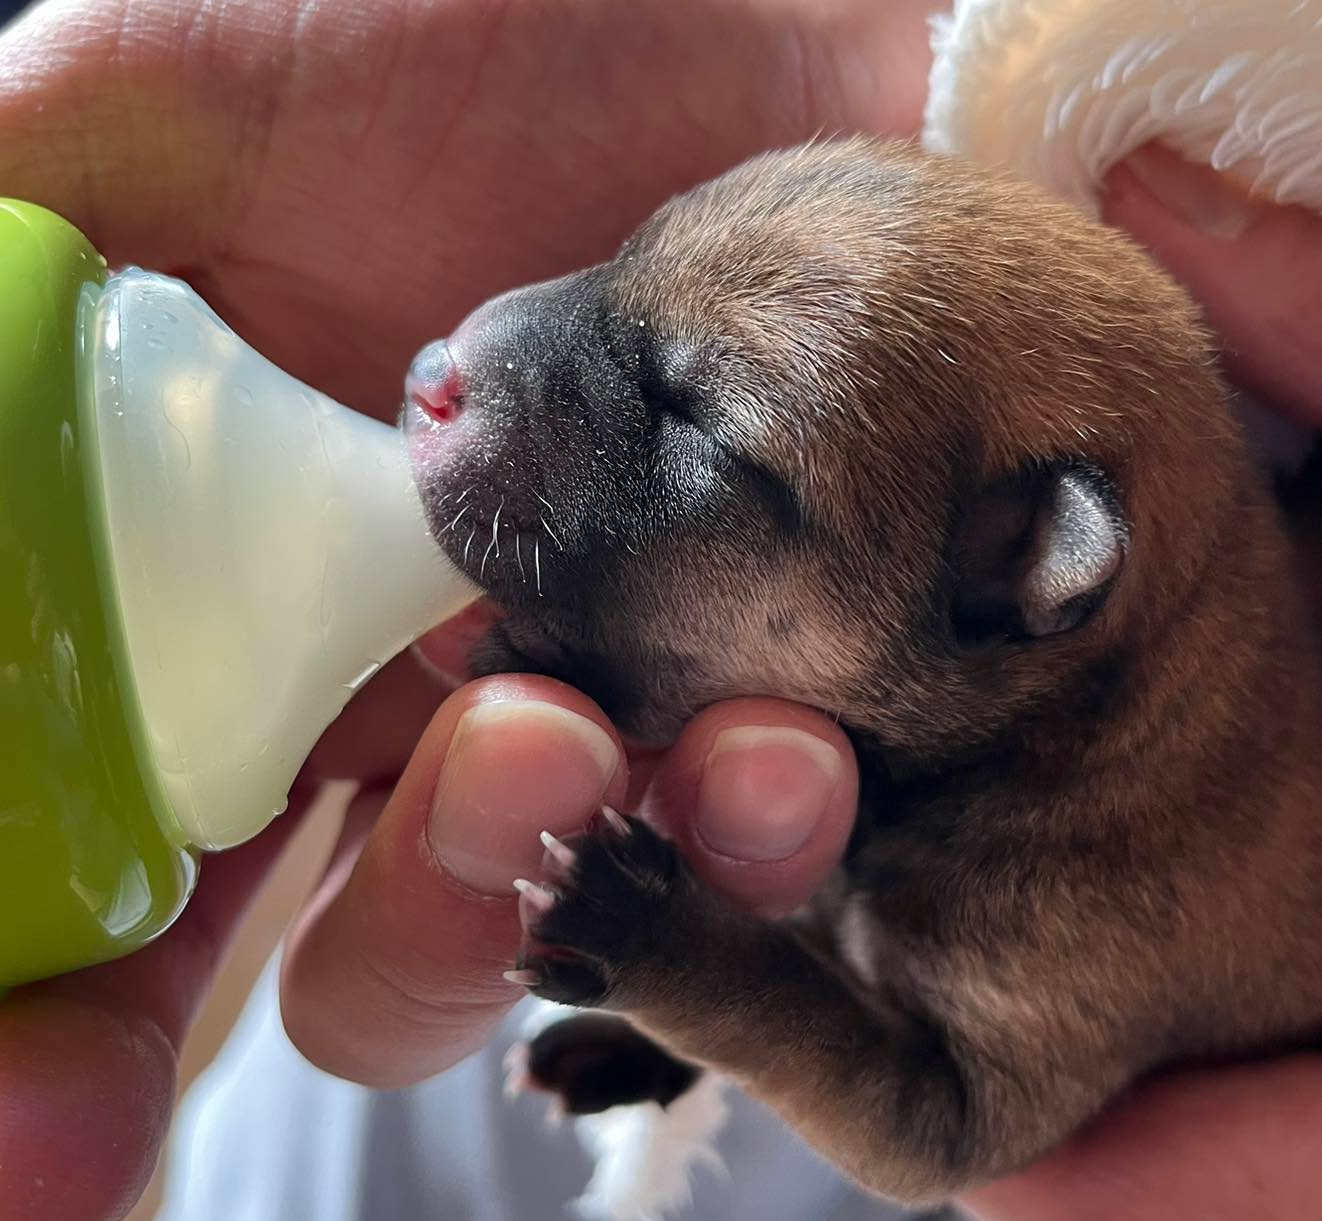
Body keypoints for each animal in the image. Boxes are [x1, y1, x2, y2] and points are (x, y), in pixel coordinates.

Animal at [401, 138, 1322, 1205]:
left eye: (698, 425)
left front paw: (643, 925)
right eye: (622, 252)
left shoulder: (974, 1098)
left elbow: (801, 1019)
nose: (429, 375)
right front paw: (617, 1050)